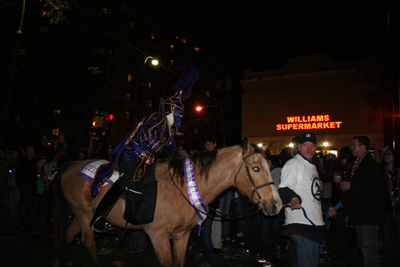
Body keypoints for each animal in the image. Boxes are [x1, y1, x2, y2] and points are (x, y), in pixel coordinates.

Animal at [53, 138, 282, 267]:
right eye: (255, 168)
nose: (277, 205)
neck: (182, 188)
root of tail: (71, 164)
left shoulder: (181, 235)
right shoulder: (158, 236)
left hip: (81, 216)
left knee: (68, 237)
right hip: (84, 216)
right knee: (88, 243)